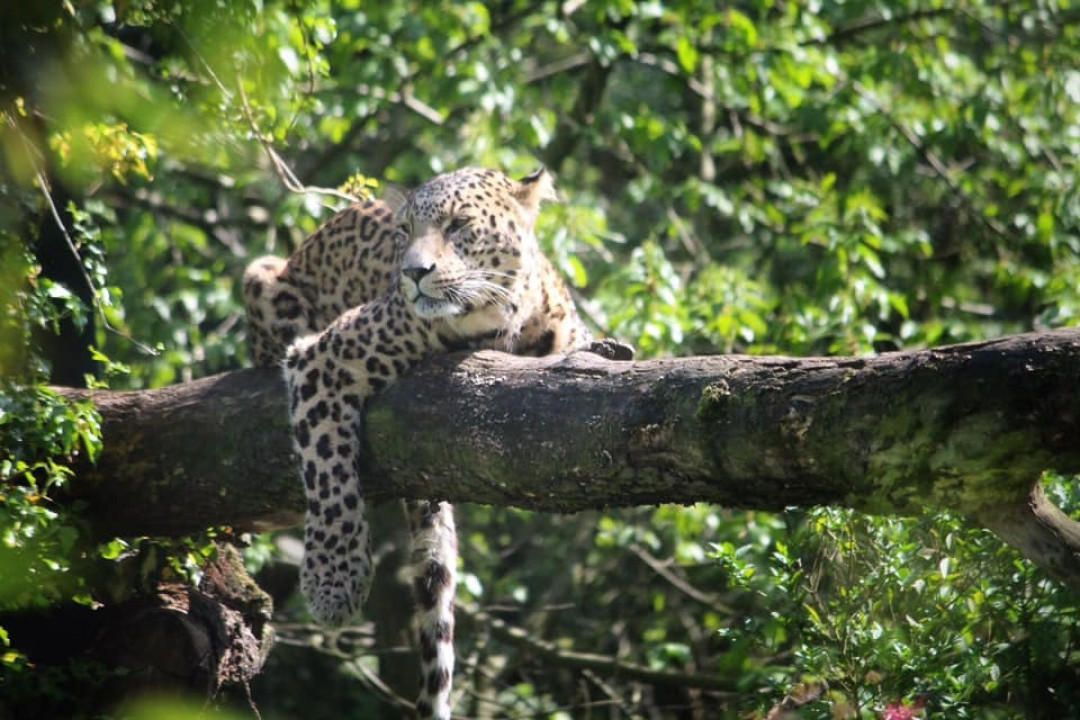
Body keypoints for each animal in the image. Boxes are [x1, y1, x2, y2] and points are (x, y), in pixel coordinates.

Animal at [240, 167, 630, 720]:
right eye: (404, 231)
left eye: (458, 225)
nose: (412, 272)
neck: (496, 323)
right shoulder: (320, 359)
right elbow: (328, 470)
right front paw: (333, 581)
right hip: (264, 274)